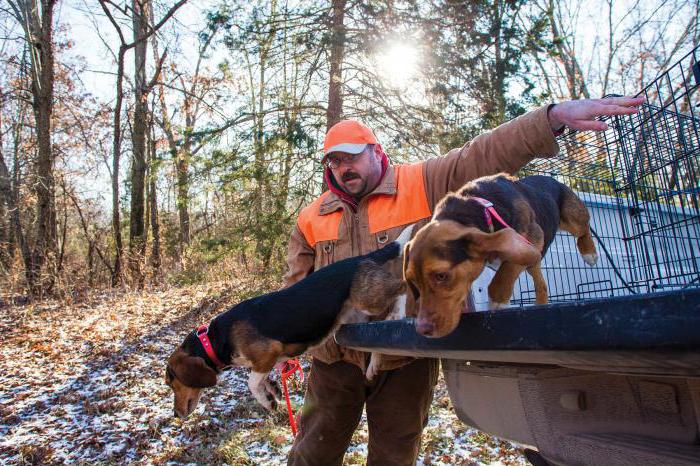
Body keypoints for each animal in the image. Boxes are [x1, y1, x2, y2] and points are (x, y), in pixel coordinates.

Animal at [166, 226, 412, 418]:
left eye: (172, 382)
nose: (176, 415)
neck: (215, 338)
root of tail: (360, 257)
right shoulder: (270, 360)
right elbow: (262, 379)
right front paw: (273, 390)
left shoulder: (268, 352)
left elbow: (251, 383)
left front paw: (266, 400)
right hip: (355, 319)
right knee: (374, 337)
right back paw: (373, 365)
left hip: (369, 299)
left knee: (401, 287)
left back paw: (397, 313)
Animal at [404, 175, 596, 338]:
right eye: (412, 281)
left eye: (441, 276)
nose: (421, 329)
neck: (479, 209)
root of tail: (552, 178)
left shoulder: (532, 238)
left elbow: (506, 271)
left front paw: (497, 302)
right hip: (534, 260)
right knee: (540, 282)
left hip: (573, 217)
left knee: (584, 229)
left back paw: (590, 252)